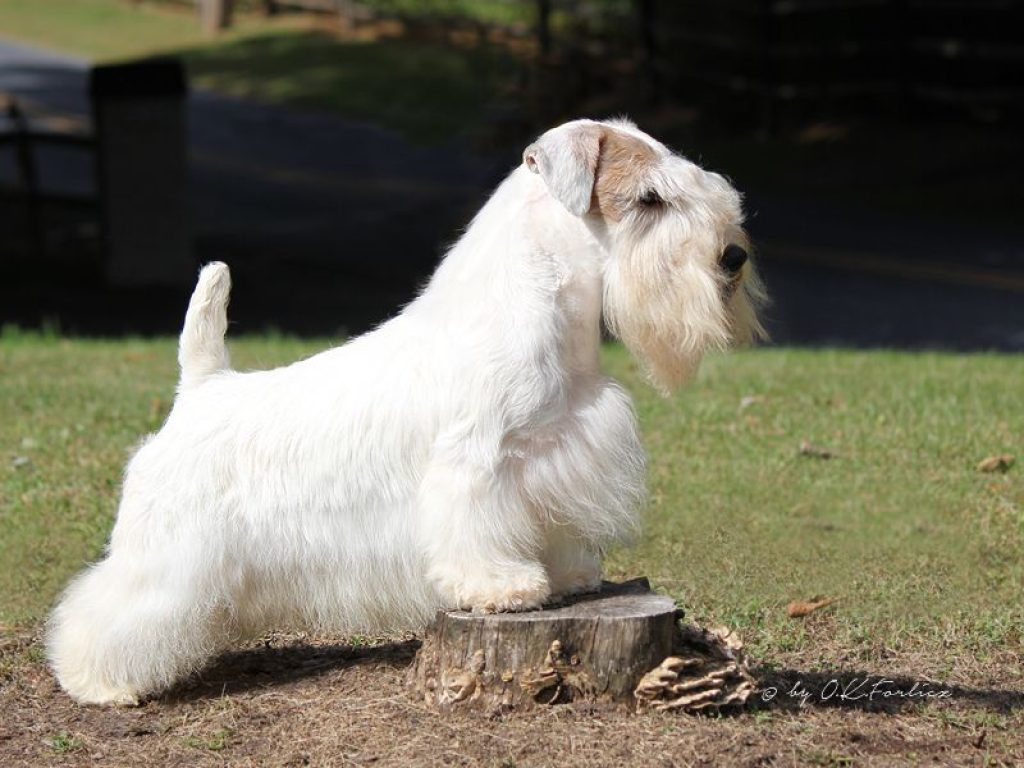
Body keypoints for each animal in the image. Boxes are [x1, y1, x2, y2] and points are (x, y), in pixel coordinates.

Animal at [49, 118, 770, 704]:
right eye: (649, 198)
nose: (732, 255)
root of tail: (200, 388)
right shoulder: (476, 463)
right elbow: (475, 532)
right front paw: (500, 588)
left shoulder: (554, 455)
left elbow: (551, 526)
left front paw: (567, 577)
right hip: (164, 554)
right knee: (109, 607)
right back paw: (98, 682)